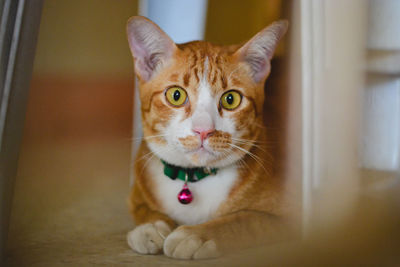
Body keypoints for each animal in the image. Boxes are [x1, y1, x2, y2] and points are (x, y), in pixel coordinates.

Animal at [125, 16, 288, 260]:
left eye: (231, 99)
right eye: (176, 95)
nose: (203, 130)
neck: (192, 177)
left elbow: (247, 220)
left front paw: (197, 235)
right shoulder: (137, 194)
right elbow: (142, 210)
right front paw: (150, 226)